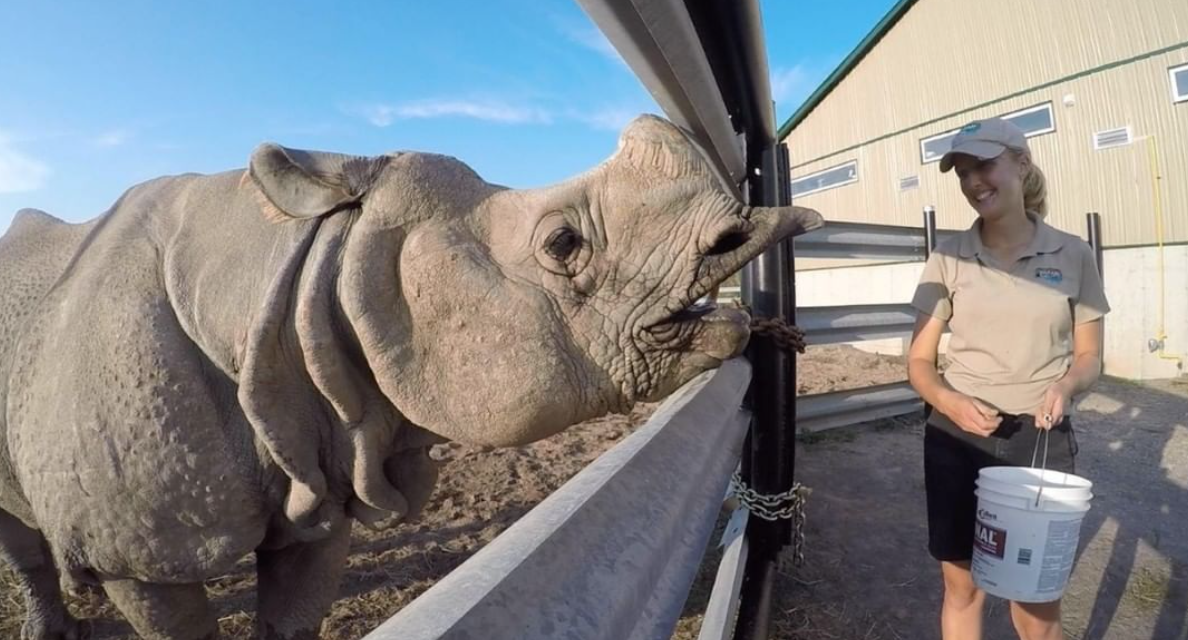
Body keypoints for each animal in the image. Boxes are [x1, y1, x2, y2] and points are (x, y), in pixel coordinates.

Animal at [0, 115, 822, 639]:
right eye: (562, 244)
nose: (749, 233)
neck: (292, 270)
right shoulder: (139, 560)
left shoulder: (322, 473)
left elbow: (294, 616)